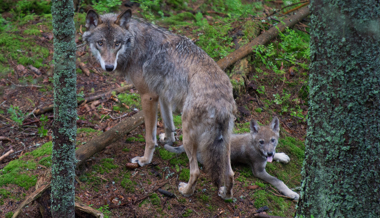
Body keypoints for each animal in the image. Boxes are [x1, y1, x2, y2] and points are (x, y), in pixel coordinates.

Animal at [84, 9, 236, 198]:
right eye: (100, 43)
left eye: (117, 43)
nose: (109, 67)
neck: (134, 44)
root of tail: (222, 101)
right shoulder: (162, 95)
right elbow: (168, 123)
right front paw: (168, 139)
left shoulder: (148, 97)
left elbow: (150, 137)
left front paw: (144, 160)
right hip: (225, 142)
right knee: (230, 173)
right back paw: (225, 195)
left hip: (189, 138)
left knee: (196, 171)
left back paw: (186, 191)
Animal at [165, 116, 298, 200]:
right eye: (261, 142)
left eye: (272, 140)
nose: (269, 153)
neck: (254, 144)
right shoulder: (259, 171)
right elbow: (278, 181)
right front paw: (292, 193)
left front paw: (282, 156)